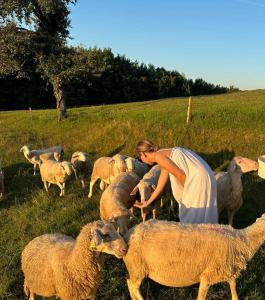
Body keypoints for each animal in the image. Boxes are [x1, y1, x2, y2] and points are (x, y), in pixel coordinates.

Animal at [122, 213, 264, 300]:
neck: (242, 241)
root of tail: (128, 234)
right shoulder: (207, 275)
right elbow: (201, 297)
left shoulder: (227, 269)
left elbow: (233, 286)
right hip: (137, 267)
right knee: (133, 285)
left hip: (136, 268)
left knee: (129, 283)